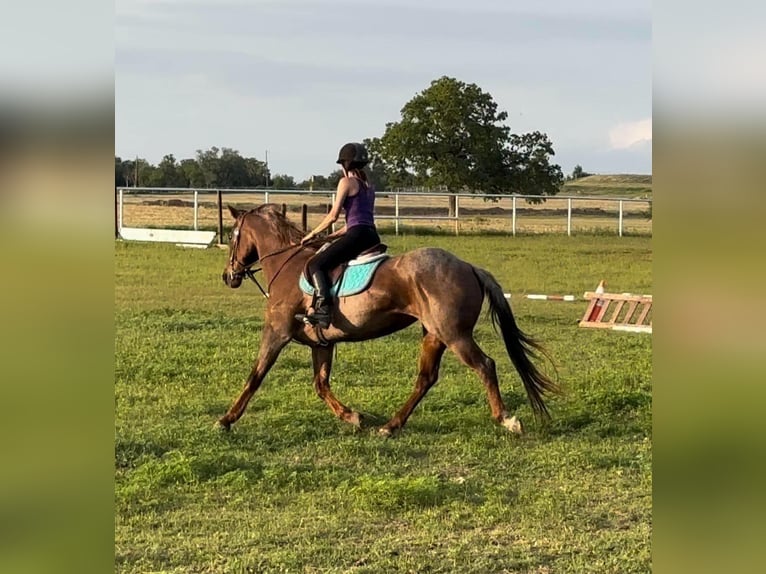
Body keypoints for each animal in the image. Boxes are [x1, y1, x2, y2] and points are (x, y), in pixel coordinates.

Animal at [219, 203, 560, 436]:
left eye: (233, 236)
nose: (228, 276)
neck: (287, 264)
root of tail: (469, 266)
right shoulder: (322, 343)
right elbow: (321, 384)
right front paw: (353, 417)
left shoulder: (276, 332)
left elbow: (255, 376)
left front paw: (226, 419)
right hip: (433, 334)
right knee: (426, 378)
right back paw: (391, 425)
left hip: (455, 335)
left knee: (484, 365)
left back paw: (506, 419)